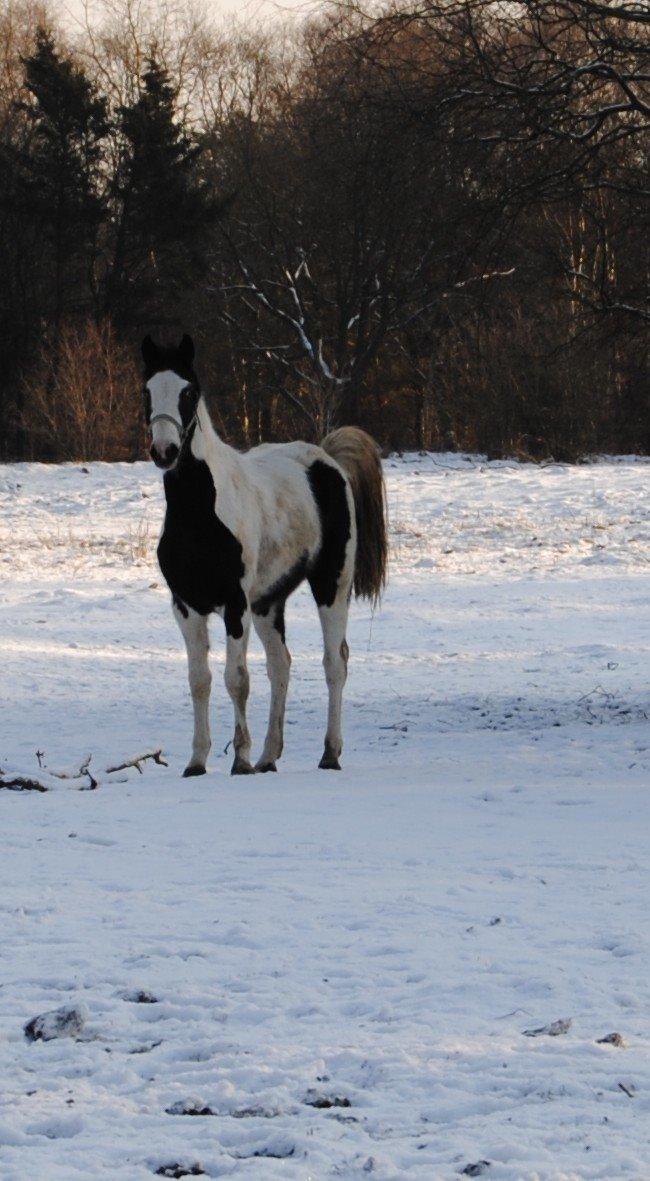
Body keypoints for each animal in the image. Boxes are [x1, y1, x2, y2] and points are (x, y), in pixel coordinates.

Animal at [143, 335, 387, 774]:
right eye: (147, 390)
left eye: (188, 392)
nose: (165, 450)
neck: (201, 511)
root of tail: (328, 461)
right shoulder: (186, 606)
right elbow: (200, 680)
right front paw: (197, 761)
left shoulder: (234, 604)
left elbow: (236, 679)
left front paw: (239, 759)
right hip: (268, 604)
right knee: (281, 665)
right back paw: (269, 756)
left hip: (331, 586)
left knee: (335, 663)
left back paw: (329, 753)